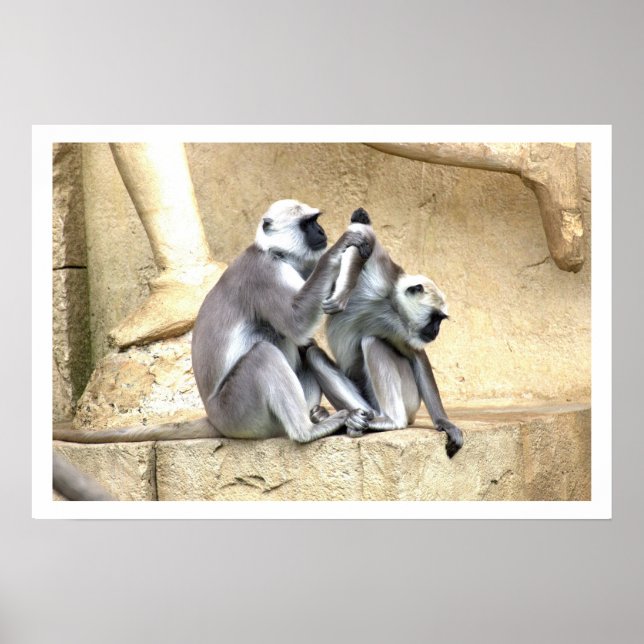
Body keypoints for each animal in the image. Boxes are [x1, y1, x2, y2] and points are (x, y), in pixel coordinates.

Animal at [53, 199, 374, 445]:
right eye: (307, 224)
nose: (321, 231)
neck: (275, 253)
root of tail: (214, 418)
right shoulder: (263, 273)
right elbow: (296, 322)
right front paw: (343, 244)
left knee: (302, 346)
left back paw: (318, 415)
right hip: (238, 411)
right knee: (264, 354)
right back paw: (308, 430)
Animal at [305, 207, 464, 458]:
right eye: (435, 318)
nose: (436, 331)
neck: (389, 305)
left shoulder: (401, 329)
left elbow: (416, 356)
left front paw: (444, 422)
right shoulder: (385, 276)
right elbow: (365, 240)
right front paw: (342, 293)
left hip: (409, 400)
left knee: (372, 341)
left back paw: (390, 421)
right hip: (367, 402)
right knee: (314, 354)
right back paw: (349, 419)